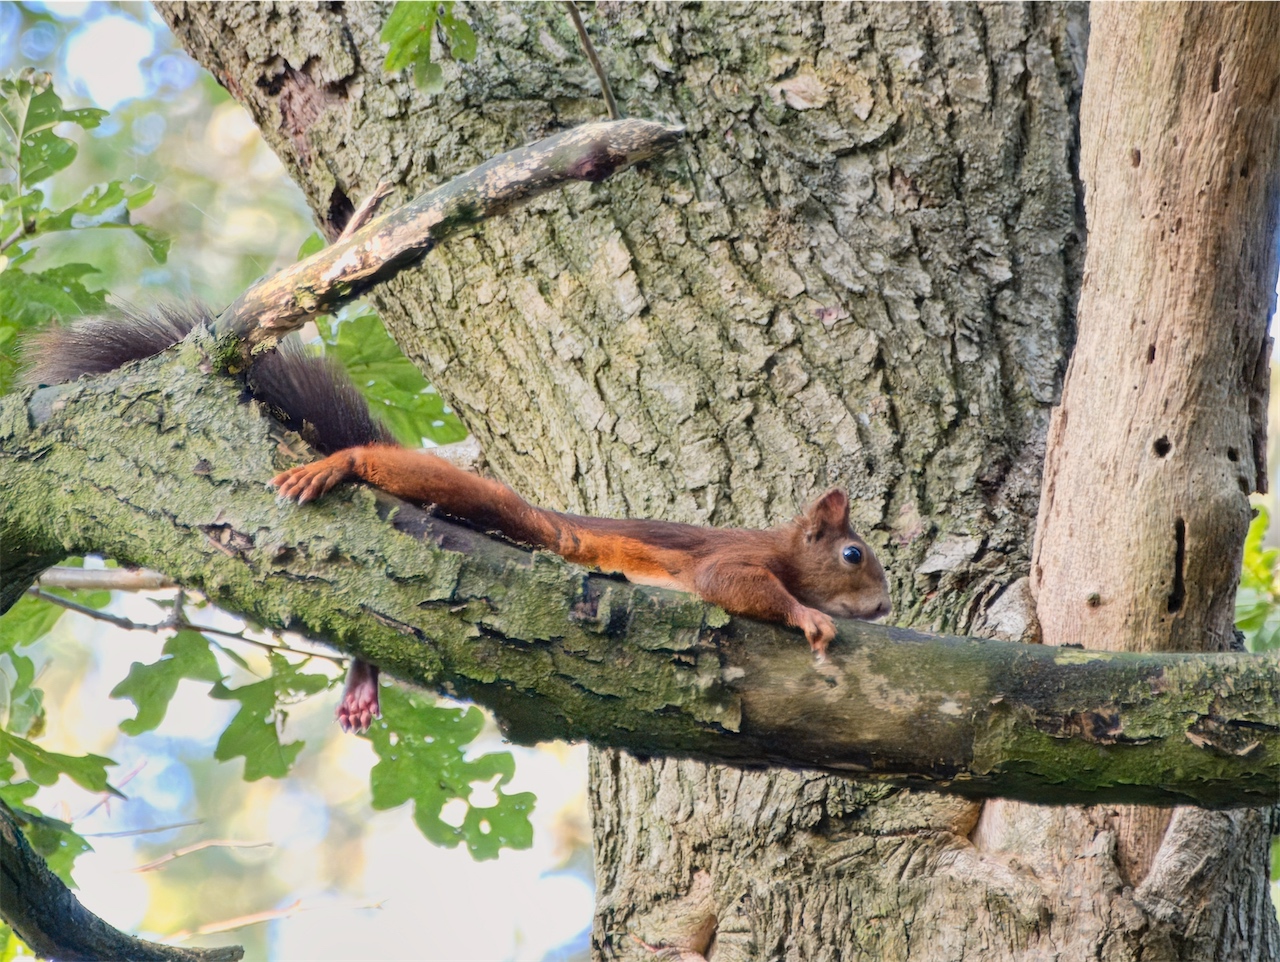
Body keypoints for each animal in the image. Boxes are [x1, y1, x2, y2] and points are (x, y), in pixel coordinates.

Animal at [27, 308, 890, 726]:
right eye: (853, 555)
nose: (884, 608)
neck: (782, 543)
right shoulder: (735, 557)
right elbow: (735, 586)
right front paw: (809, 618)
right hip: (498, 505)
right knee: (396, 468)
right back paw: (339, 465)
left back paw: (363, 680)